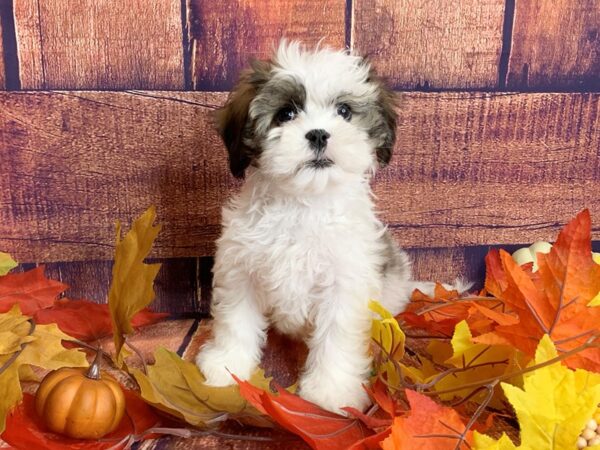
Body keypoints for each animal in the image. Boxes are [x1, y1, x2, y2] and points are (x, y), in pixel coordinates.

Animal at [197, 40, 468, 414]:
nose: (318, 134)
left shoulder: (345, 284)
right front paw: (227, 364)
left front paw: (331, 391)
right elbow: (236, 320)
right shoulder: (241, 268)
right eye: (286, 114)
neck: (303, 204)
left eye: (343, 111)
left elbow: (336, 336)